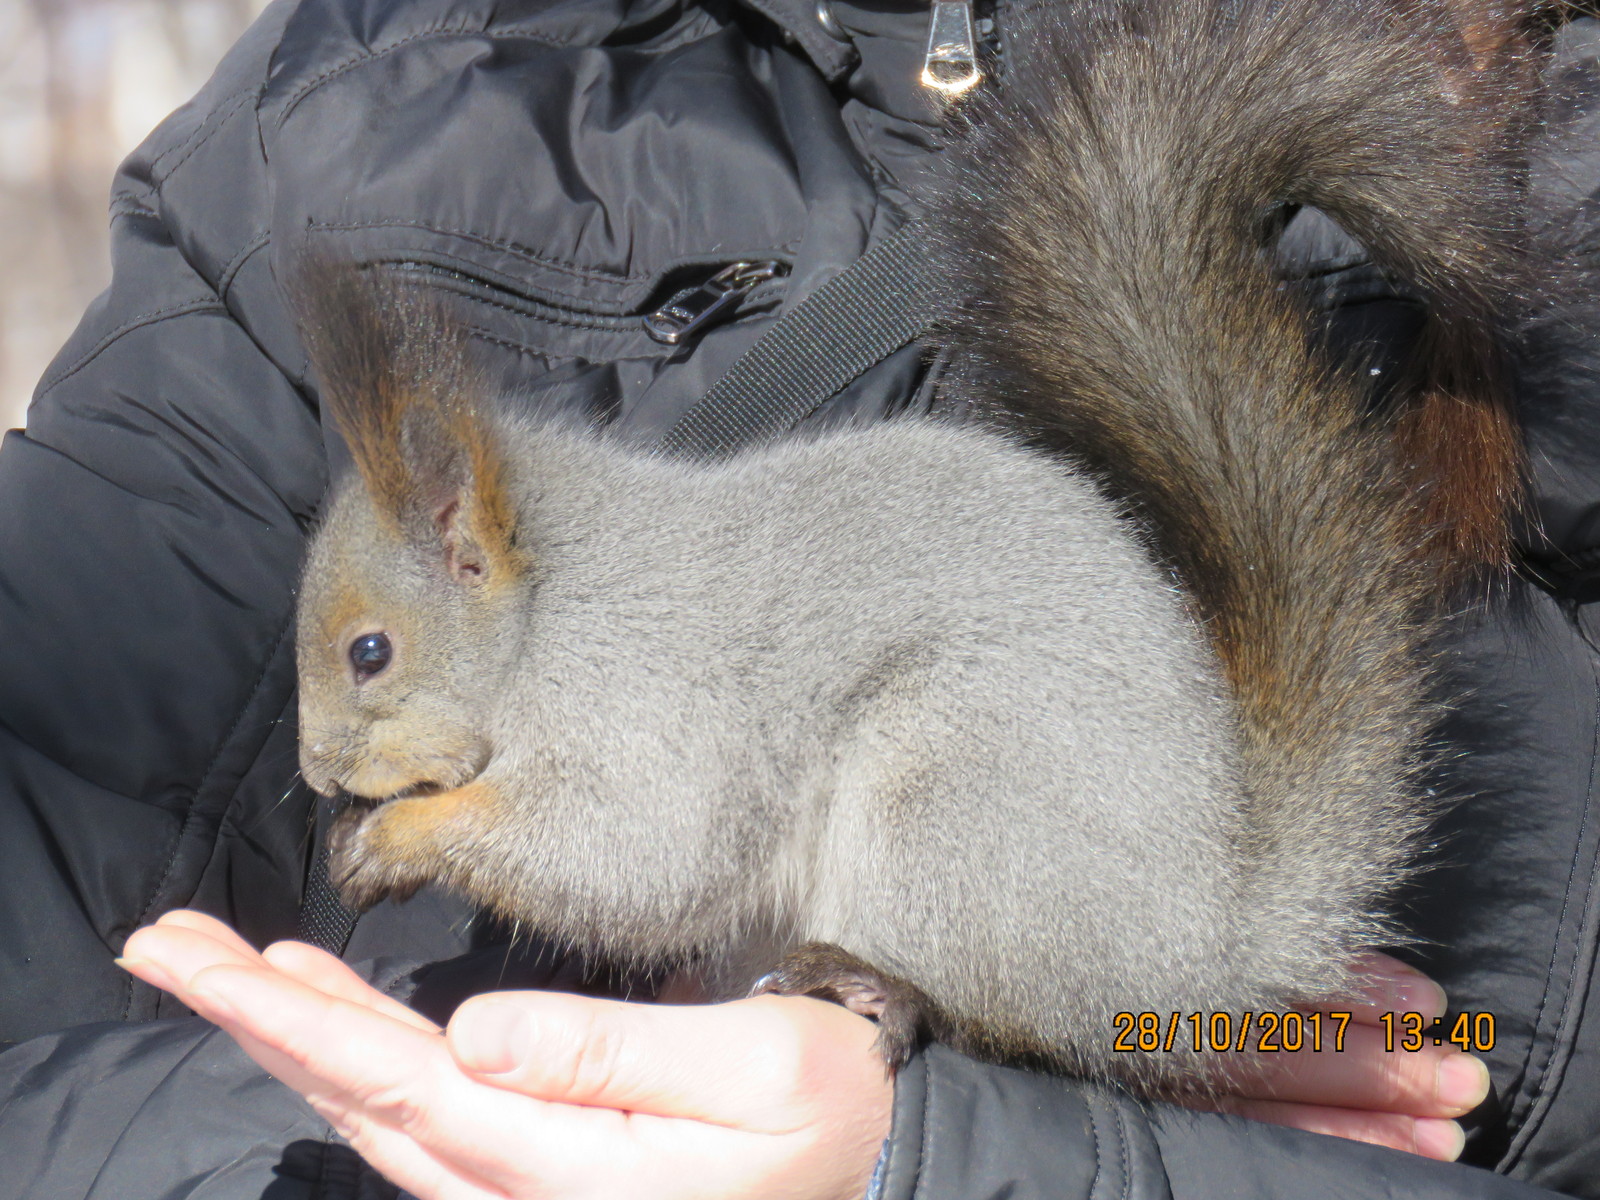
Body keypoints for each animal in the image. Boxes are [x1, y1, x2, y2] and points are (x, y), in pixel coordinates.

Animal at [294, 0, 1529, 1094]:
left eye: (370, 653)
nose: (314, 778)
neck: (554, 603)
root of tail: (1204, 936)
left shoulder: (651, 704)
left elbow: (631, 852)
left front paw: (401, 835)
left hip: (950, 801)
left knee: (1007, 1011)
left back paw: (875, 982)